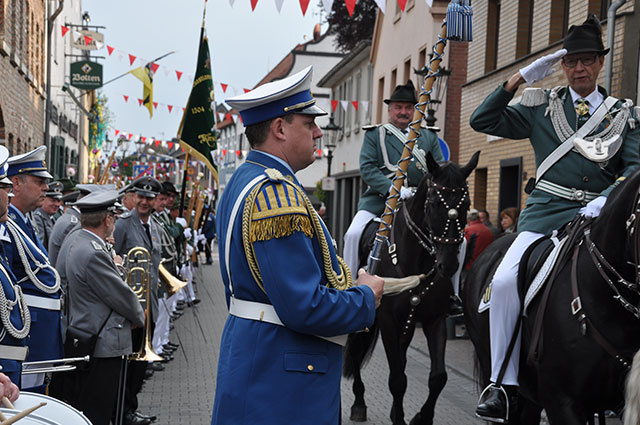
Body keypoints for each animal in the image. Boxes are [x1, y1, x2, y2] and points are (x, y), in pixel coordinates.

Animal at [342, 152, 478, 424]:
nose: (449, 264)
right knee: (357, 352)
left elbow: (438, 377)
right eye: (434, 203)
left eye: (467, 203)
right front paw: (399, 417)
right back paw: (359, 403)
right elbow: (397, 380)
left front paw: (420, 417)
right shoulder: (387, 321)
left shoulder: (434, 320)